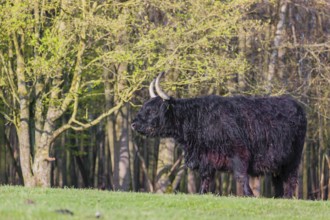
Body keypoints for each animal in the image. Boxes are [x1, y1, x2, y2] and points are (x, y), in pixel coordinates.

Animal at [131, 72, 306, 198]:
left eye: (152, 110)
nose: (133, 124)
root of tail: (296, 104)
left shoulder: (239, 153)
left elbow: (241, 175)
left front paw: (249, 194)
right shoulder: (205, 158)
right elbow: (205, 177)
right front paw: (202, 193)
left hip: (294, 158)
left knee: (291, 178)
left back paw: (288, 197)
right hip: (279, 161)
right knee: (278, 179)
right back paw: (279, 197)